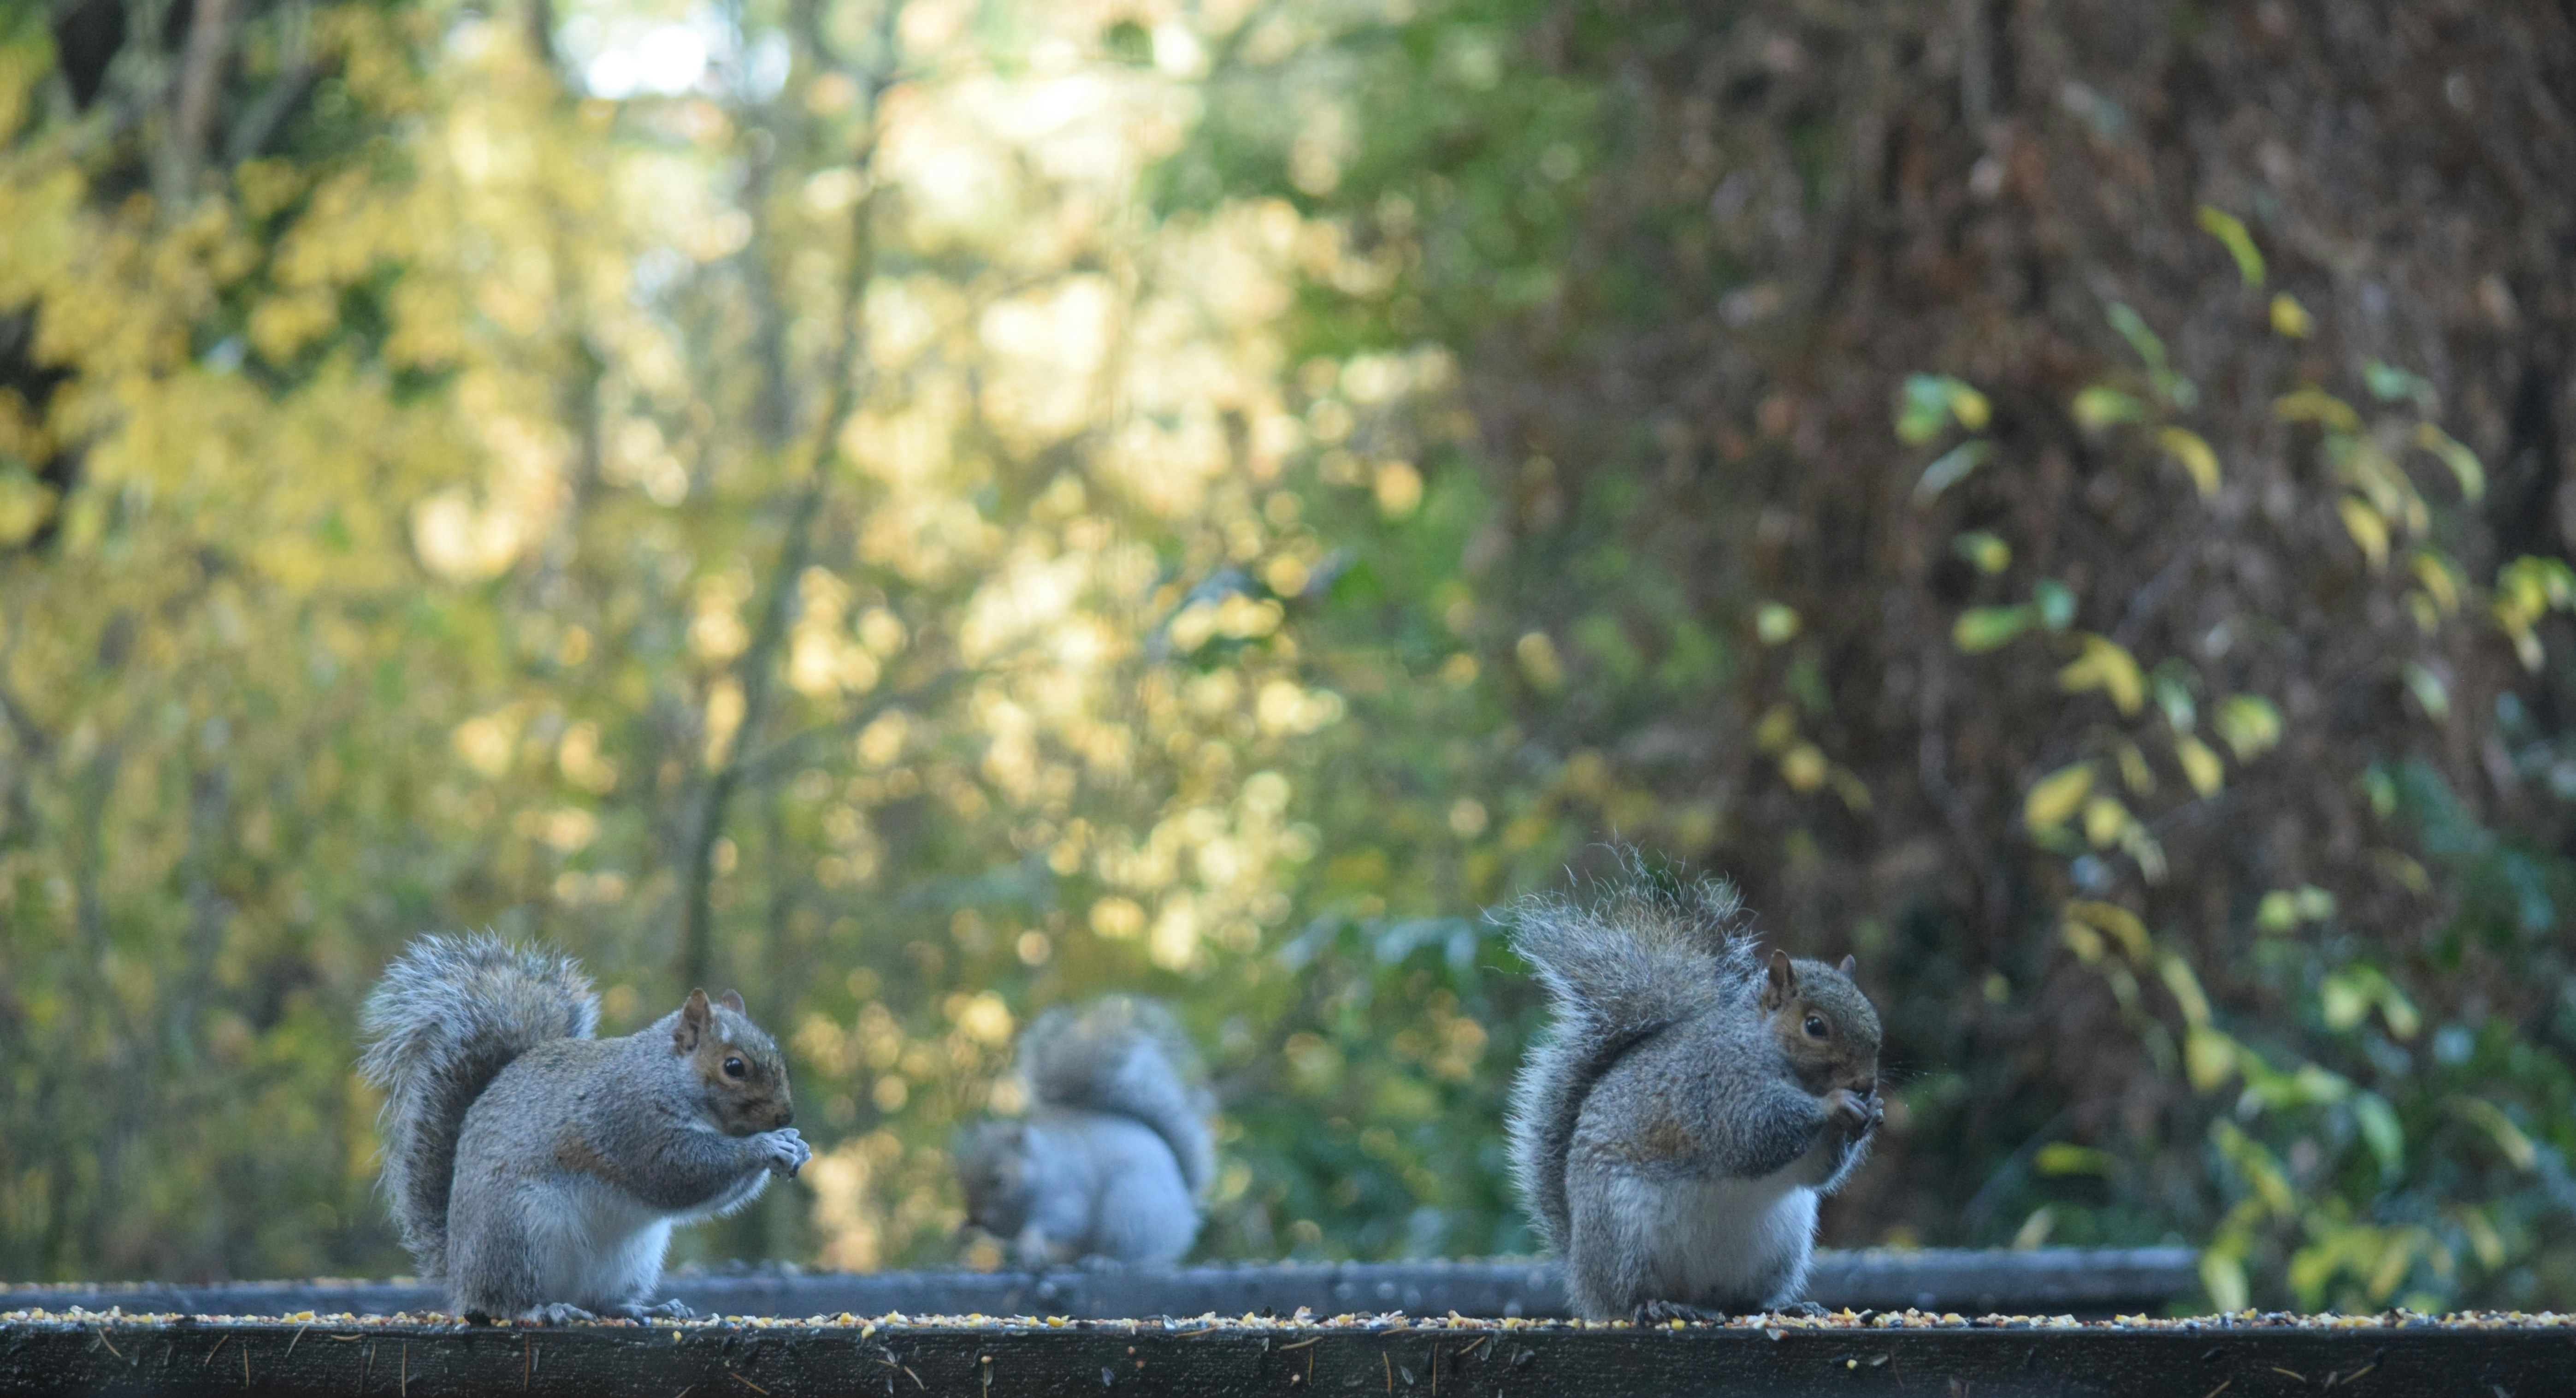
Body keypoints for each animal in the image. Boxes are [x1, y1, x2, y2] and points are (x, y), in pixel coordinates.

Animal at [358, 934, 811, 1323]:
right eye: (734, 1067)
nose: (784, 1117)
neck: (666, 1077)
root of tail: (457, 1271)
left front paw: (796, 1146)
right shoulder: (631, 1122)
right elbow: (679, 1173)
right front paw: (766, 1146)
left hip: (631, 1260)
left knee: (600, 1301)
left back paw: (644, 1308)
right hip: (520, 1236)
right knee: (503, 1301)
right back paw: (545, 1309)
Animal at [954, 996, 1215, 1269]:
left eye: (999, 1180)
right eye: (960, 1177)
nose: (978, 1218)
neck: (1041, 1168)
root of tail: (1185, 1217)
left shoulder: (1068, 1192)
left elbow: (1064, 1220)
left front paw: (1030, 1239)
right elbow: (1006, 1233)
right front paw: (964, 1229)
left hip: (1131, 1211)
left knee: (1136, 1256)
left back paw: (1105, 1261)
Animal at [1502, 860, 1883, 1320]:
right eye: (1815, 1026)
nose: (1866, 1084)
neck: (1764, 1047)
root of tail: (1581, 1276)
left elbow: (1814, 1170)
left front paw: (1871, 1113)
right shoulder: (1715, 1085)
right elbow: (1753, 1132)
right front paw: (1833, 1105)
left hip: (1781, 1244)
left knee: (1741, 1301)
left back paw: (1786, 1307)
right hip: (1624, 1232)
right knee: (1628, 1297)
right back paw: (1657, 1306)